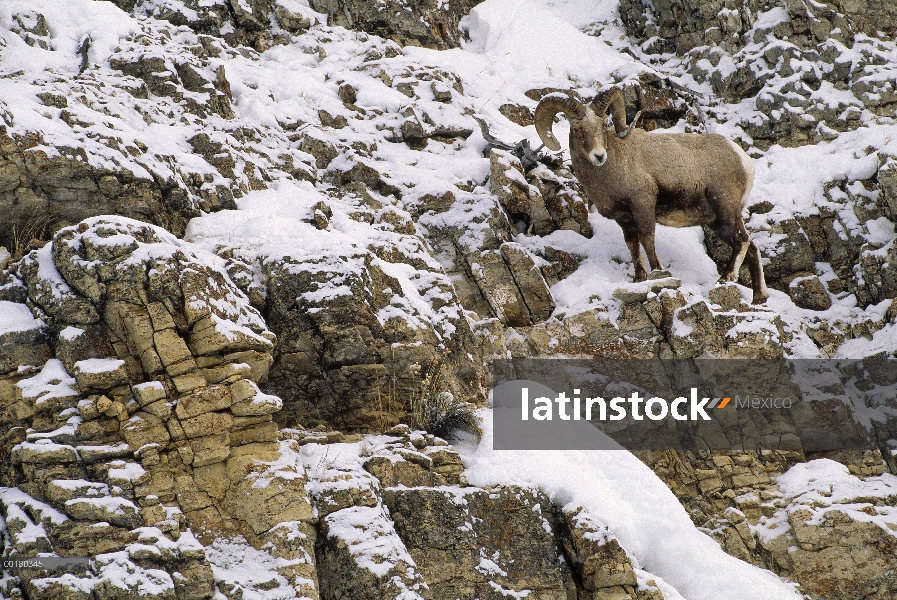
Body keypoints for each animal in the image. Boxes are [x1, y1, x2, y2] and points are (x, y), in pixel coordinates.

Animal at [532, 88, 768, 304]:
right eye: (577, 129)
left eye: (603, 125)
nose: (599, 156)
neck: (612, 168)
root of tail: (743, 160)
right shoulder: (625, 220)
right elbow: (632, 246)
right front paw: (639, 279)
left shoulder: (642, 205)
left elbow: (647, 239)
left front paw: (658, 273)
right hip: (718, 221)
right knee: (751, 246)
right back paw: (758, 298)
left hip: (725, 210)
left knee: (742, 241)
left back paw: (726, 278)